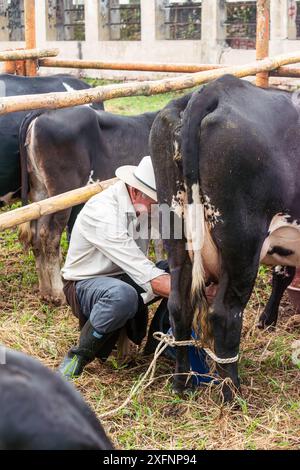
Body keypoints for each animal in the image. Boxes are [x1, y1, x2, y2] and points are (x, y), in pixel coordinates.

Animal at [18, 105, 158, 304]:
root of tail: (45, 111)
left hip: (40, 193)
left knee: (36, 234)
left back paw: (45, 291)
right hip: (62, 192)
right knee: (50, 236)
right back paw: (58, 293)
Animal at [151, 76, 300, 400]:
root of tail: (216, 88)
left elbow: (283, 274)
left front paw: (267, 321)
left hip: (176, 234)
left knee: (179, 306)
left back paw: (182, 382)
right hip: (242, 245)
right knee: (225, 313)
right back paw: (232, 391)